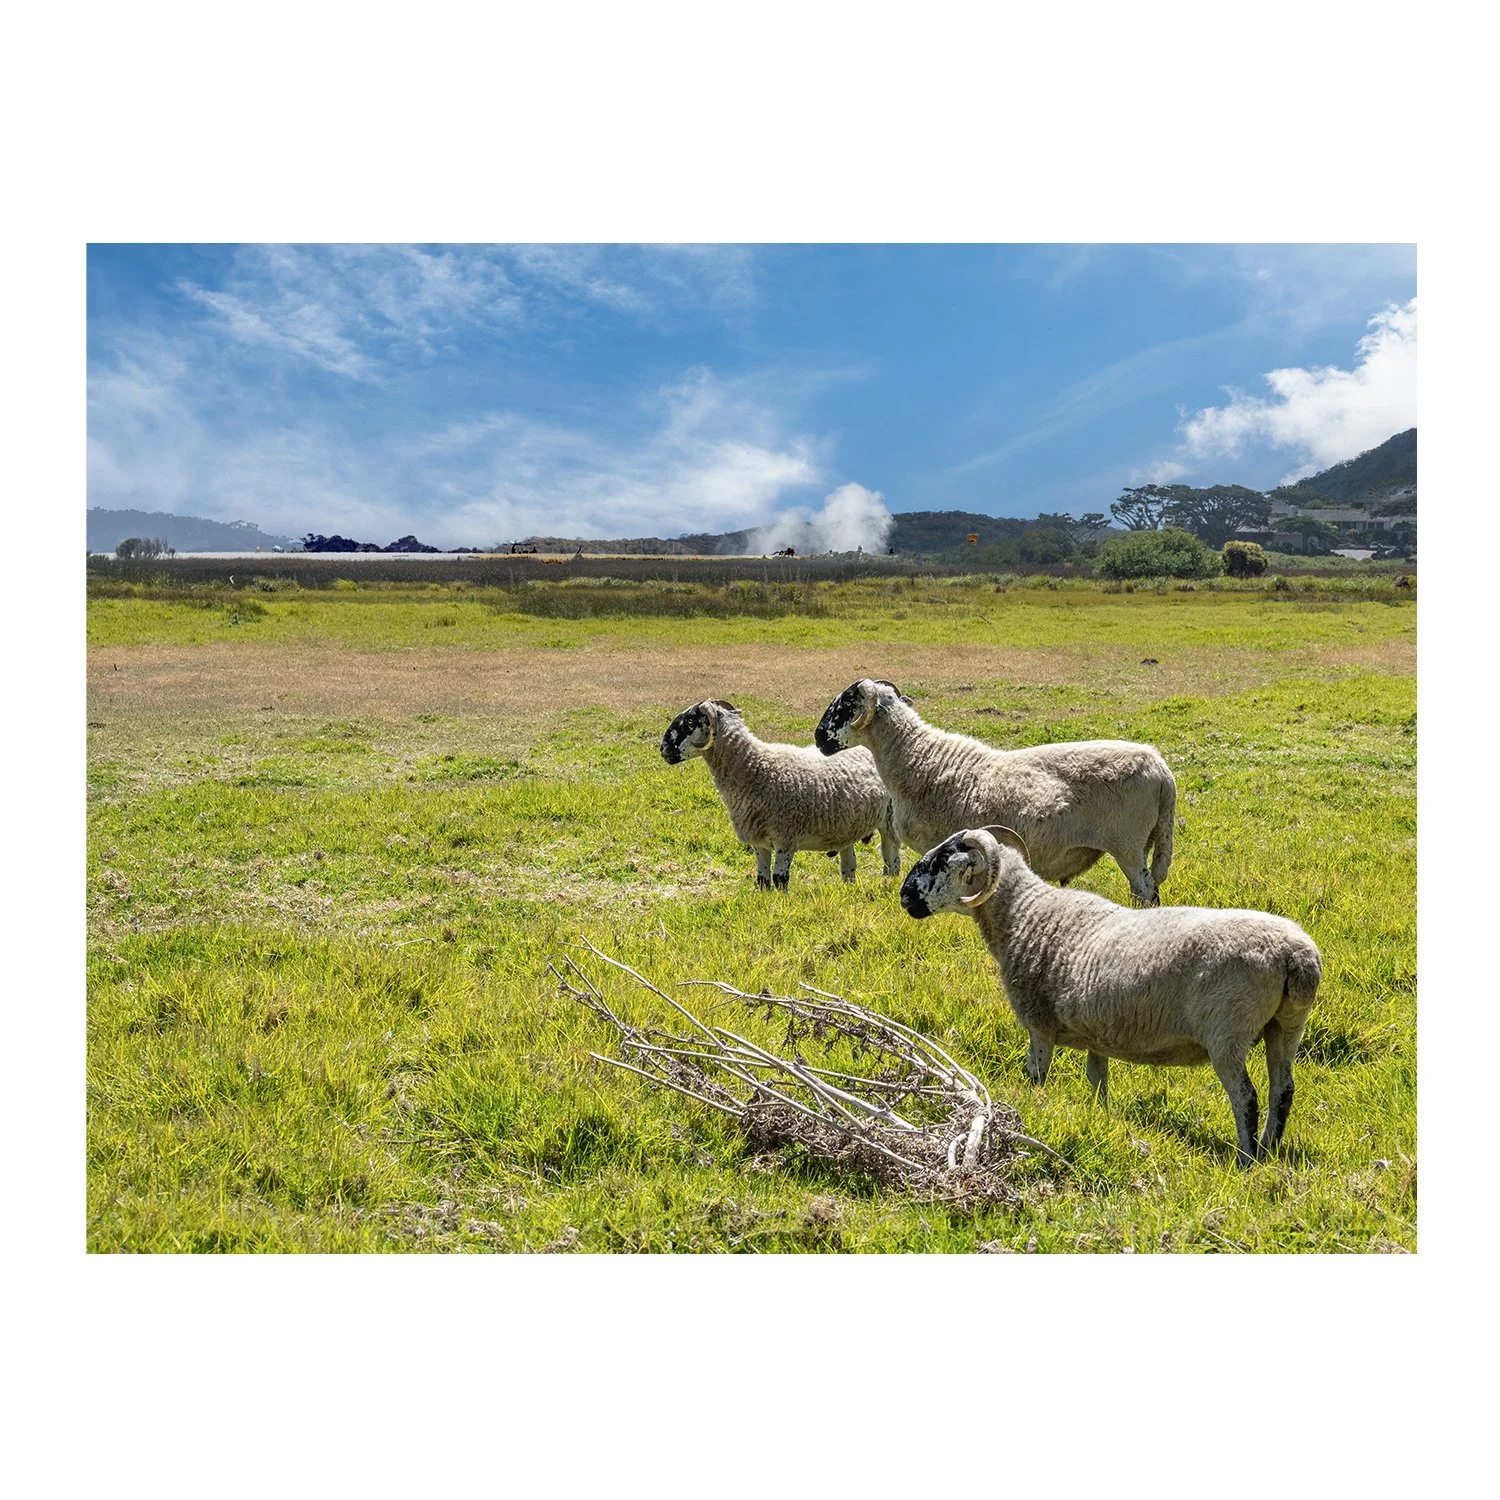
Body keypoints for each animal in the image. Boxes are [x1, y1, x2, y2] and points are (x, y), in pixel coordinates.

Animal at [660, 699, 900, 890]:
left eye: (690, 722)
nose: (662, 749)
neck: (754, 767)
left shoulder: (786, 837)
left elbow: (780, 879)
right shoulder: (759, 843)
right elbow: (762, 880)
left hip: (889, 820)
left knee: (891, 859)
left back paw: (889, 883)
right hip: (846, 827)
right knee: (849, 866)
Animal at [815, 678, 1176, 904]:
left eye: (847, 704)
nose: (818, 738)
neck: (917, 757)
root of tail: (1160, 768)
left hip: (1127, 845)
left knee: (1146, 889)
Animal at [899, 825, 1322, 1164]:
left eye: (942, 860)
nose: (904, 896)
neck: (1023, 914)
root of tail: (1294, 955)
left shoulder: (1039, 1026)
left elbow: (1036, 1075)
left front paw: (1034, 1106)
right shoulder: (1097, 1036)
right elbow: (1097, 1081)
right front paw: (1099, 1117)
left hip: (1228, 1032)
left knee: (1246, 1097)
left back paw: (1247, 1159)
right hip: (1287, 1026)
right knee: (1282, 1091)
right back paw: (1269, 1150)